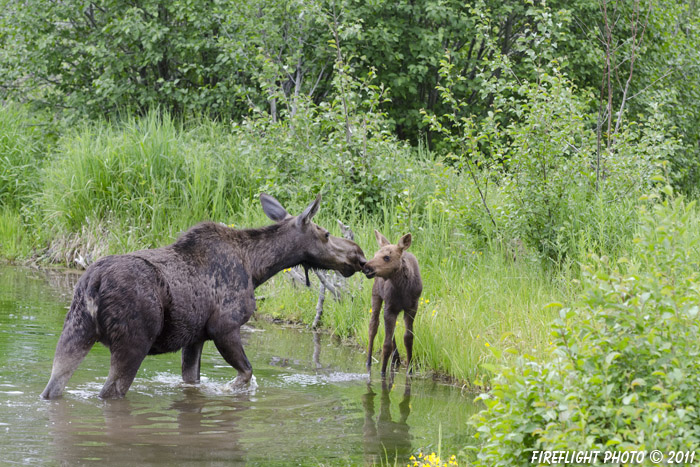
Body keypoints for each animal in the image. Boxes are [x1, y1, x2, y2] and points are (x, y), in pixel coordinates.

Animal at [39, 194, 366, 398]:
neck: (257, 267)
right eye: (325, 233)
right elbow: (246, 374)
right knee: (110, 392)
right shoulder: (224, 326)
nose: (359, 255)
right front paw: (227, 391)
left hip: (75, 330)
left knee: (53, 387)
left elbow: (192, 380)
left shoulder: (195, 338)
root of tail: (92, 284)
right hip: (133, 342)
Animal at [360, 230, 422, 376]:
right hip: (376, 295)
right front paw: (383, 371)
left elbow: (408, 338)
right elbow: (386, 344)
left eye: (387, 257)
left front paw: (410, 370)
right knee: (373, 326)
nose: (366, 267)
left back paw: (396, 358)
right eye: (375, 254)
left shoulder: (412, 307)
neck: (403, 289)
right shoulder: (390, 307)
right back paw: (369, 362)